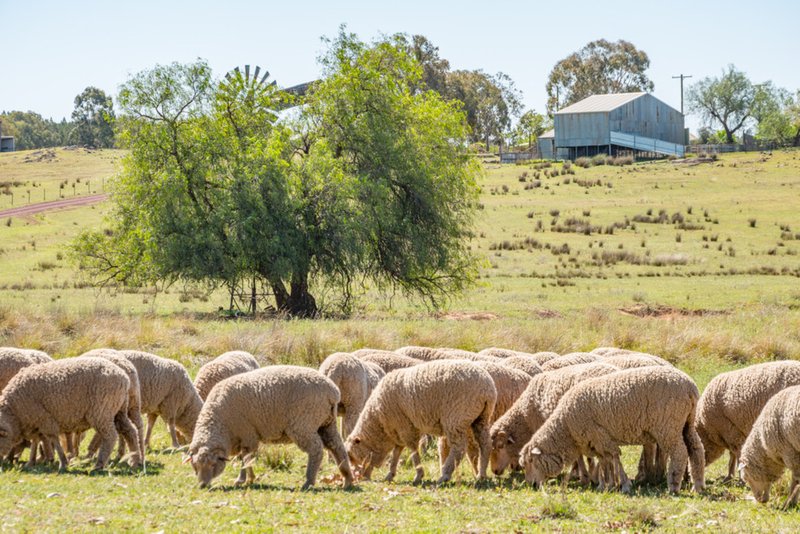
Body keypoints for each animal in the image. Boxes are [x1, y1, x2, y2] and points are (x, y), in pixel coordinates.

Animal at [0, 358, 139, 472]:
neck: (14, 412)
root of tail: (124, 377)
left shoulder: (44, 418)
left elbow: (53, 440)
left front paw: (63, 463)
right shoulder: (35, 421)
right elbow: (36, 440)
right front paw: (30, 462)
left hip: (101, 412)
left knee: (111, 436)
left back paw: (99, 465)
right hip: (118, 411)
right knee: (130, 431)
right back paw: (135, 460)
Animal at [188, 366, 354, 492]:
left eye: (213, 465)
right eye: (195, 465)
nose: (202, 485)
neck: (220, 423)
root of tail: (333, 392)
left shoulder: (248, 434)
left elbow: (246, 458)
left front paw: (243, 479)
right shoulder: (246, 436)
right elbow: (246, 458)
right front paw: (249, 479)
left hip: (303, 424)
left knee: (316, 449)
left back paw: (308, 482)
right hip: (326, 423)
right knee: (337, 447)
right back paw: (347, 479)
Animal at [346, 360, 496, 486]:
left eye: (352, 457)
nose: (360, 478)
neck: (378, 422)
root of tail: (486, 388)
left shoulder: (405, 425)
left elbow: (412, 449)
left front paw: (418, 475)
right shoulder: (398, 429)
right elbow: (397, 452)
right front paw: (390, 474)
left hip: (456, 417)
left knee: (459, 447)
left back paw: (445, 475)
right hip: (481, 418)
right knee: (485, 444)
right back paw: (481, 475)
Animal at [520, 368, 708, 494]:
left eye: (530, 461)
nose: (532, 485)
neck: (565, 427)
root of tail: (690, 387)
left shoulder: (599, 435)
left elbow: (613, 458)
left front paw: (622, 485)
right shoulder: (598, 440)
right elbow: (606, 460)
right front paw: (607, 484)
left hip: (668, 426)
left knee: (679, 452)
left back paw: (674, 485)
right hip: (687, 423)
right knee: (696, 449)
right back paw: (697, 485)